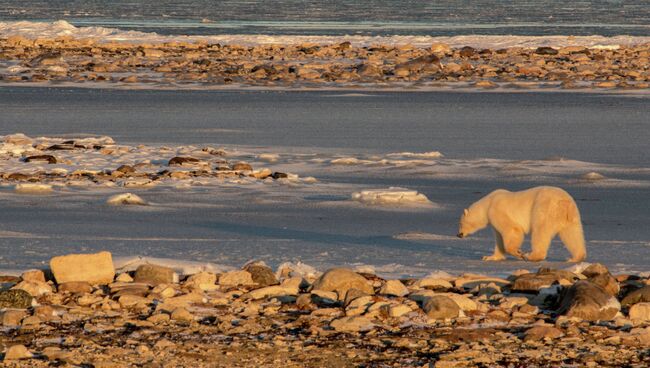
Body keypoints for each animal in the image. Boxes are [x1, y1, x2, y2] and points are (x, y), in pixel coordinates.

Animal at [456, 187, 588, 262]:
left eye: (460, 223)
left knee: (540, 232)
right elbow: (499, 238)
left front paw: (519, 253)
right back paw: (574, 258)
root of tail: (564, 203)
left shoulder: (497, 210)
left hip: (543, 208)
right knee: (572, 235)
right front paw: (490, 257)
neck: (488, 203)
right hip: (571, 217)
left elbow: (512, 229)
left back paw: (531, 256)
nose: (459, 234)